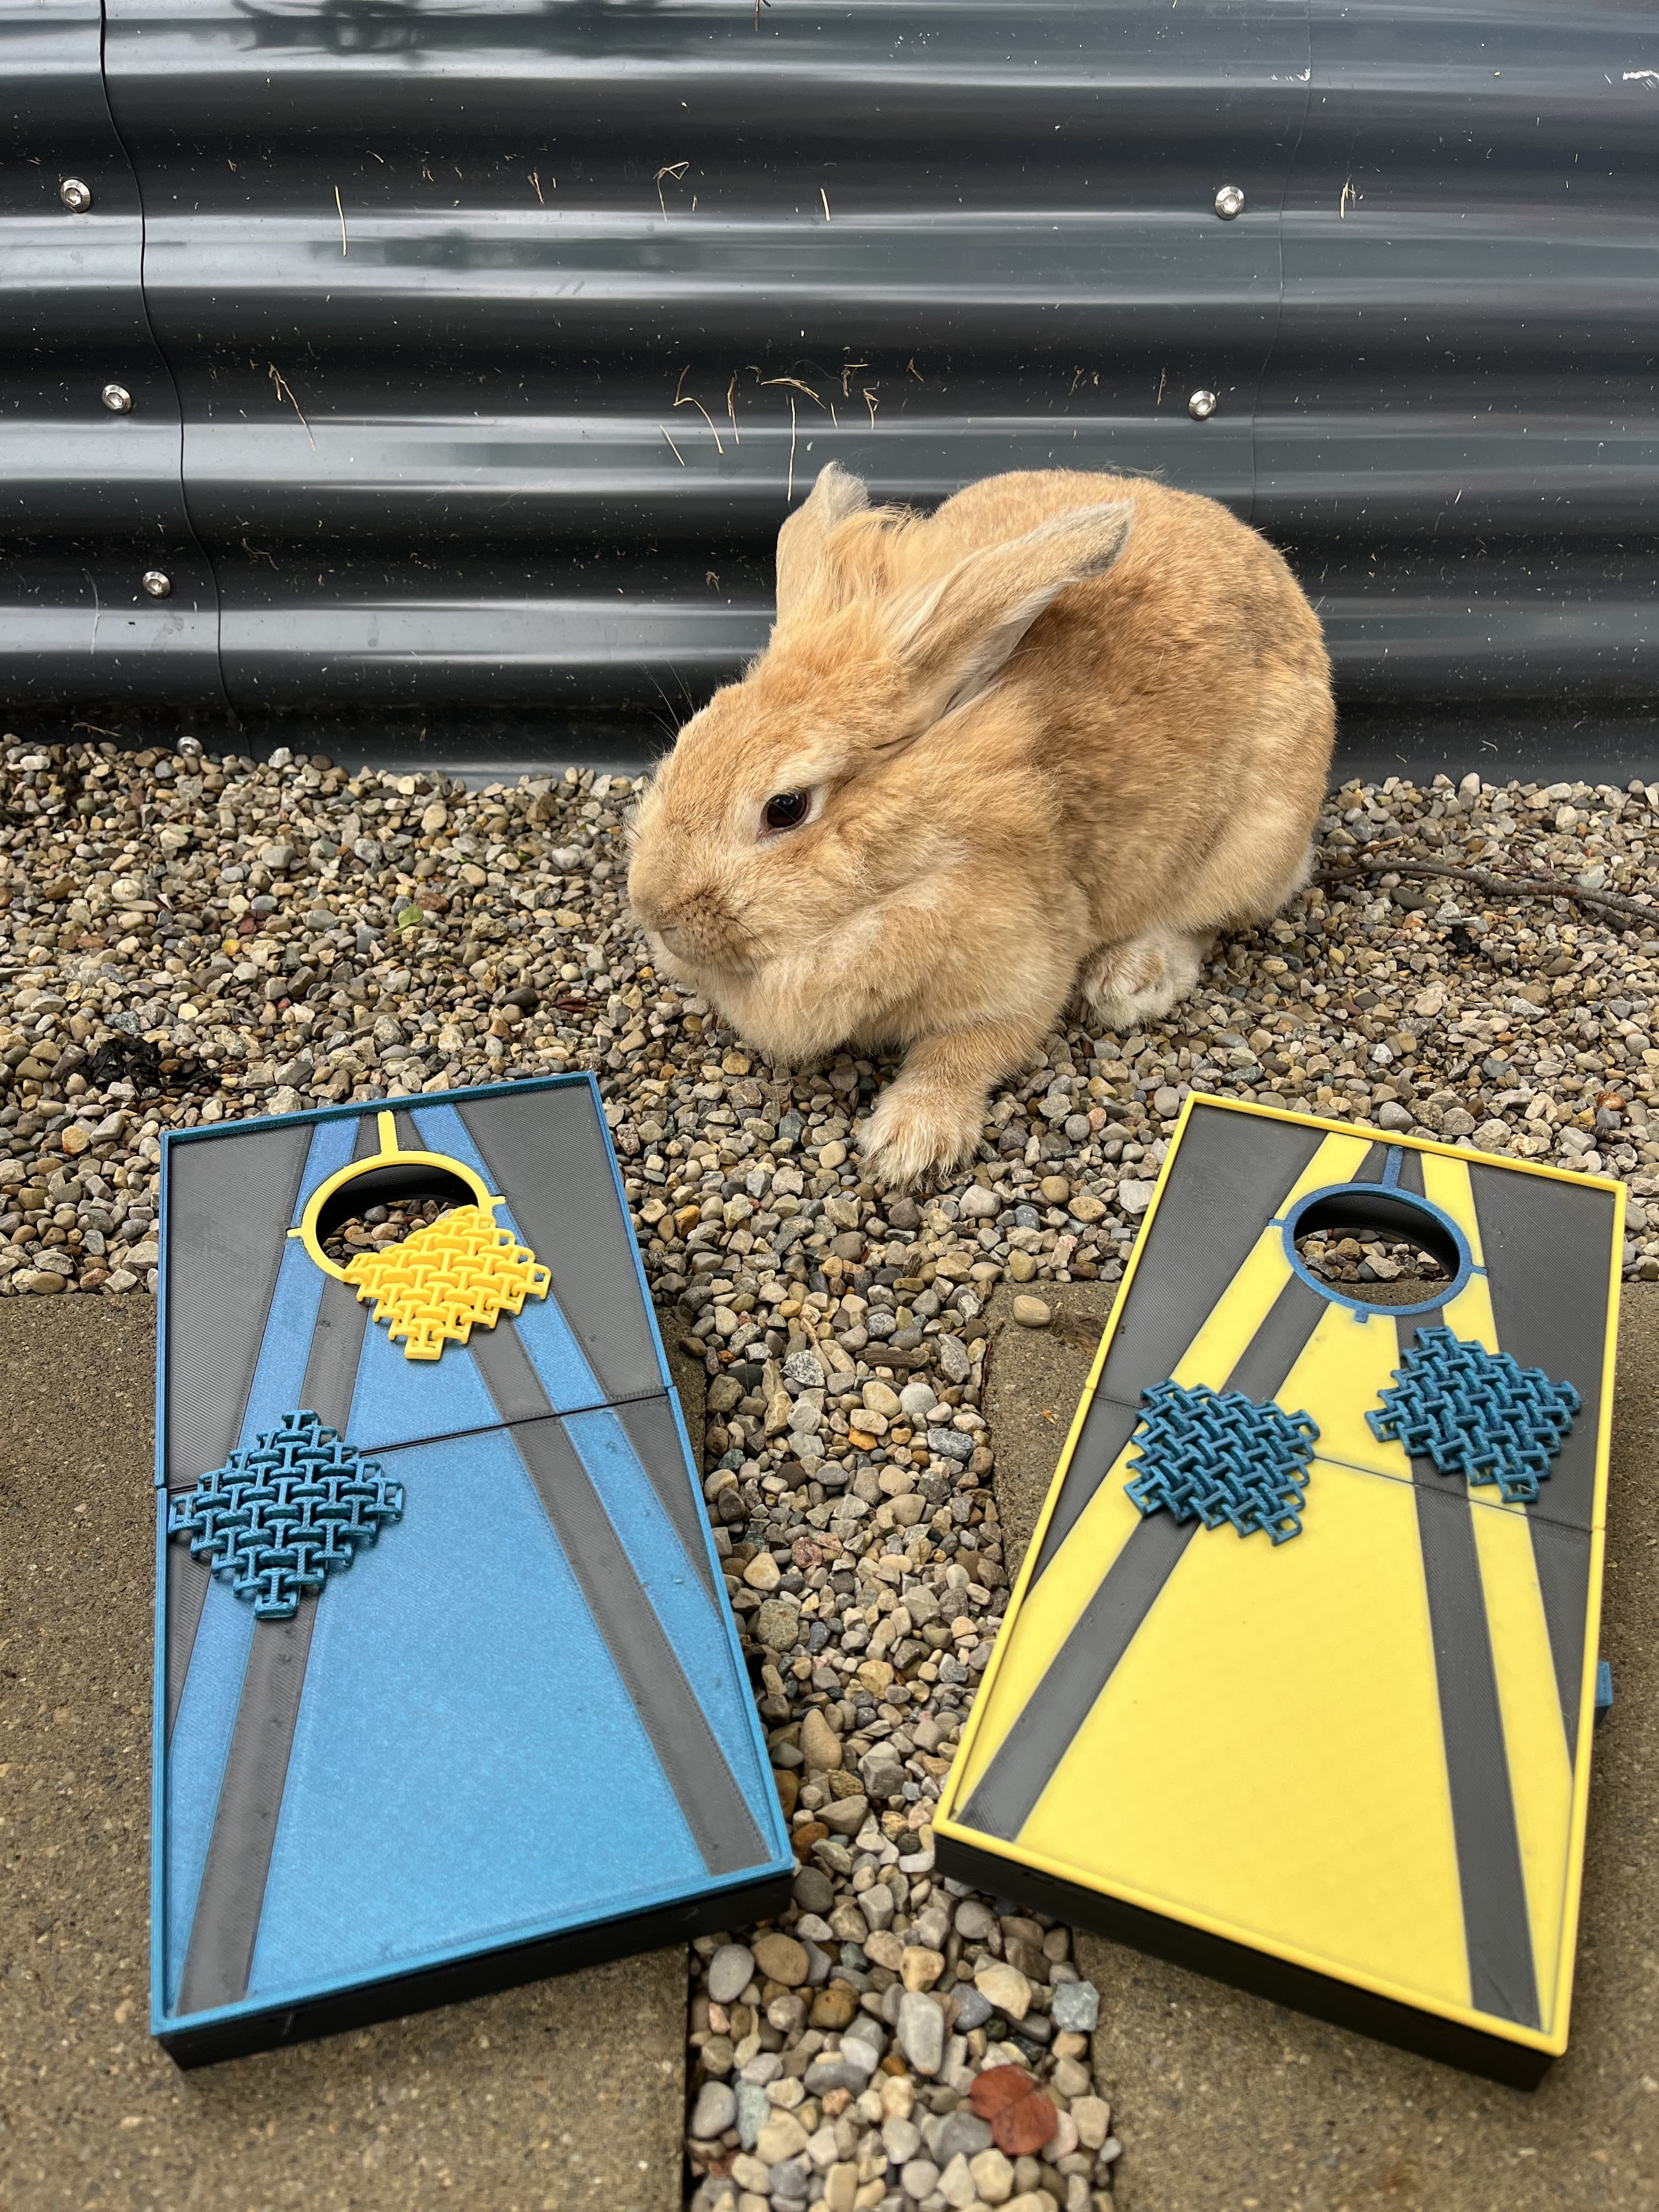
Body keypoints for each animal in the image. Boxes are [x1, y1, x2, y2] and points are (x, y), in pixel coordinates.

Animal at [626, 463, 1333, 1187]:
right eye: (688, 743)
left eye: (786, 808)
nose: (654, 909)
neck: (897, 882)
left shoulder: (1024, 974)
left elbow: (966, 1051)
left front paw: (908, 1146)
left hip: (1251, 844)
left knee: (1207, 922)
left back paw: (1128, 983)